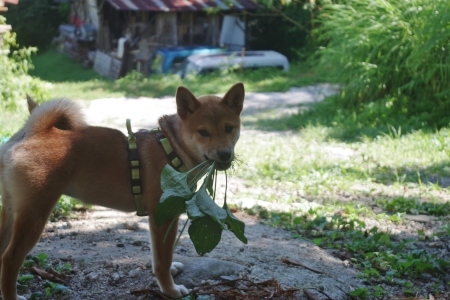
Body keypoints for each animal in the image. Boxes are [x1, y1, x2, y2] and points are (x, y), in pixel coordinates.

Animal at [0, 82, 246, 300]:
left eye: (229, 128)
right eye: (203, 132)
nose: (225, 154)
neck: (171, 148)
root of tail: (34, 132)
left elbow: (161, 256)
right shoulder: (163, 218)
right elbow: (162, 260)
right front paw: (170, 289)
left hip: (12, 211)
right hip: (34, 215)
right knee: (10, 259)